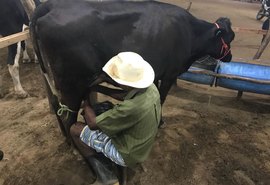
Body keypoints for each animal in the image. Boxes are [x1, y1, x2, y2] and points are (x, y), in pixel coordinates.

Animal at [30, 0, 235, 138]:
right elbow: (162, 98)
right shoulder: (170, 74)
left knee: (57, 106)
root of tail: (51, 5)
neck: (190, 33)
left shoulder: (157, 73)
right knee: (67, 115)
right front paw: (160, 123)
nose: (230, 57)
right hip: (71, 84)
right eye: (229, 38)